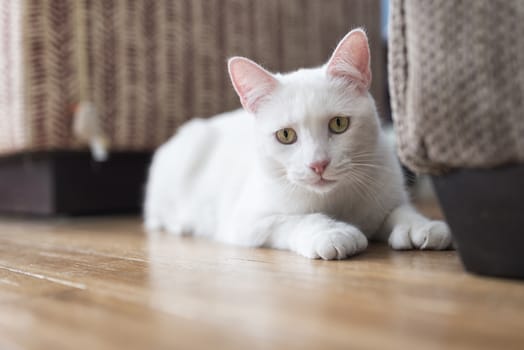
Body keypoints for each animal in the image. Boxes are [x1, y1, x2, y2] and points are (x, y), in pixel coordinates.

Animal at [145, 28, 452, 258]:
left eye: (339, 124)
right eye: (285, 135)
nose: (318, 164)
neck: (334, 199)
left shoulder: (386, 196)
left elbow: (399, 211)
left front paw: (422, 227)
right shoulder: (246, 221)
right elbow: (297, 219)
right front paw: (331, 232)